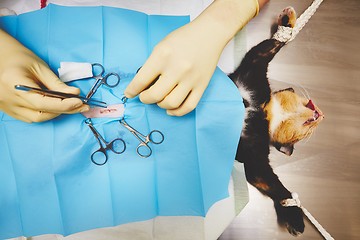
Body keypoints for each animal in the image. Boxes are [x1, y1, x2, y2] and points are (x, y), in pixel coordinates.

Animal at [229, 6, 324, 235]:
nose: (323, 116)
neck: (266, 112)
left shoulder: (254, 158)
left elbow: (275, 185)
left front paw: (294, 215)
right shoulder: (252, 70)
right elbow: (268, 46)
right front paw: (288, 22)